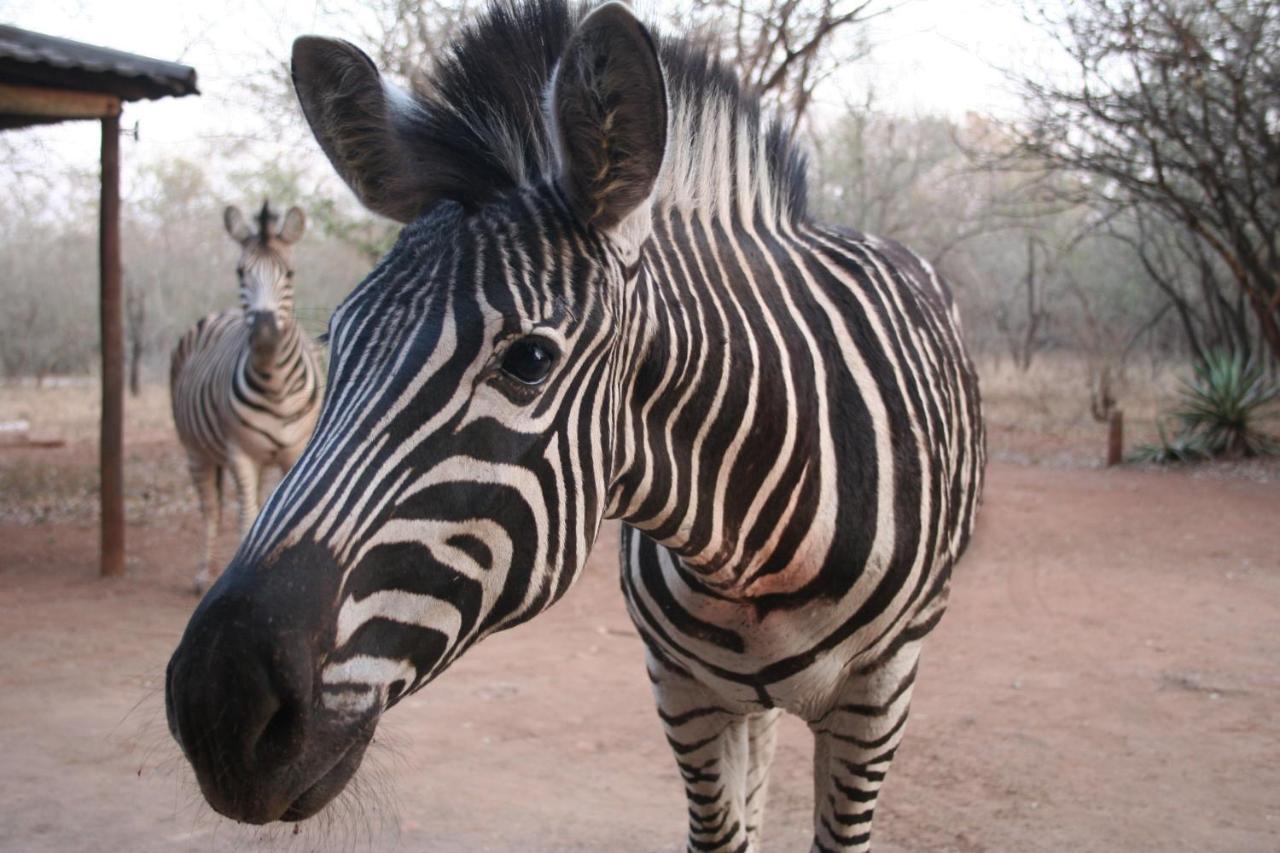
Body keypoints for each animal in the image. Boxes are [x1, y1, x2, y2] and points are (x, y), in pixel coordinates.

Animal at [168, 201, 325, 591]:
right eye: (241, 272)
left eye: (289, 273)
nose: (265, 333)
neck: (276, 388)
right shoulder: (239, 453)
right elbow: (246, 516)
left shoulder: (296, 451)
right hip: (197, 452)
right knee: (212, 511)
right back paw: (203, 574)